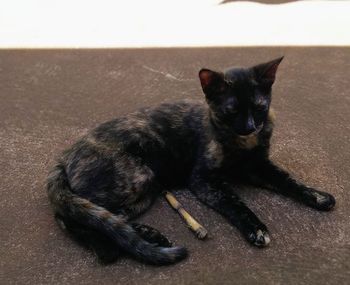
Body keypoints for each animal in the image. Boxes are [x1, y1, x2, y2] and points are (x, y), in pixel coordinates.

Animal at [46, 56, 334, 266]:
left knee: (108, 216)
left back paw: (150, 236)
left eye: (259, 107)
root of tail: (65, 156)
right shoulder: (204, 180)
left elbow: (289, 181)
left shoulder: (259, 166)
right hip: (138, 177)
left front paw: (317, 196)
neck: (242, 145)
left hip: (145, 192)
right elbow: (235, 203)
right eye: (231, 111)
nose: (250, 127)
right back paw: (109, 248)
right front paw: (256, 228)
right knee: (72, 216)